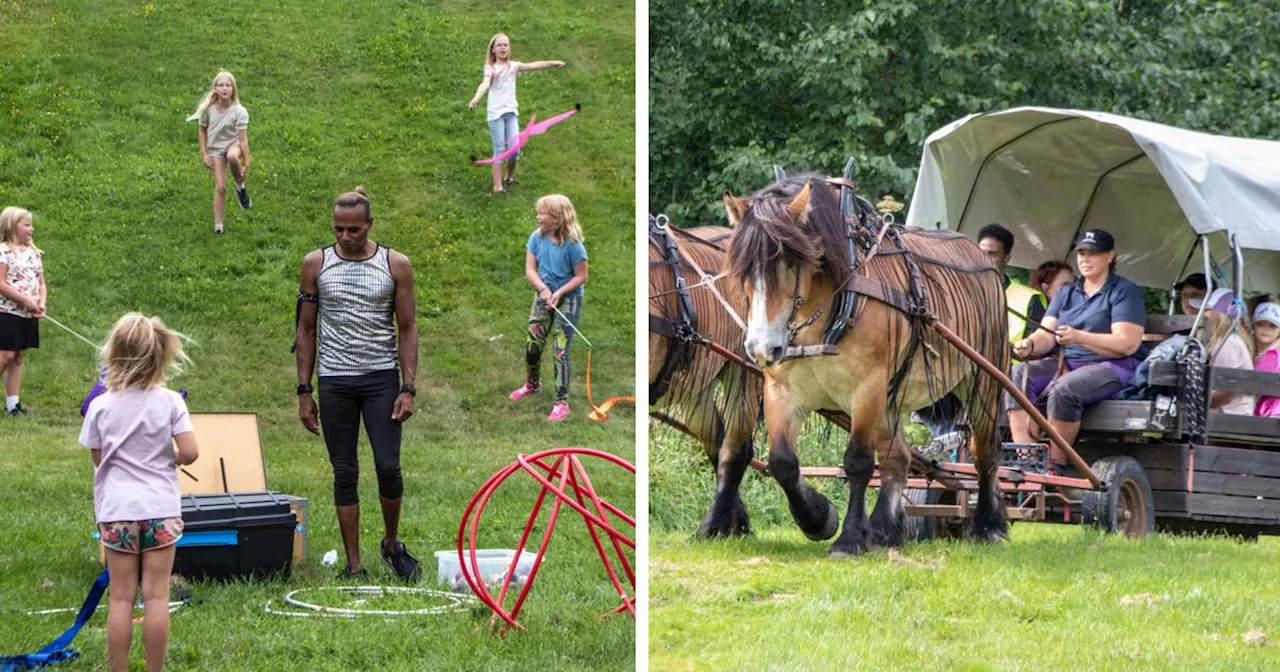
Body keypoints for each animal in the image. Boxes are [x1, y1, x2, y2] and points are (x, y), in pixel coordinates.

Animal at [650, 224, 757, 535]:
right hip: (695, 388)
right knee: (717, 442)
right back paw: (733, 524)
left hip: (744, 370)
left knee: (736, 450)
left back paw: (711, 528)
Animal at [727, 174, 1003, 555]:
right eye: (742, 268)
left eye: (789, 262)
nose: (761, 347)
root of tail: (981, 255)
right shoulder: (781, 389)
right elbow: (782, 462)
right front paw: (818, 517)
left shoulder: (867, 386)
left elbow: (858, 462)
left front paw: (850, 538)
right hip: (892, 393)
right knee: (898, 458)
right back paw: (886, 528)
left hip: (983, 378)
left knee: (986, 451)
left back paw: (989, 525)